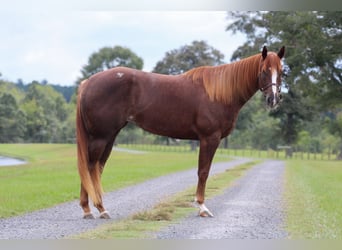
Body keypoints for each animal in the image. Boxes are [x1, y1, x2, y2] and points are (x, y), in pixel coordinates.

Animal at [76, 46, 284, 218]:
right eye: (264, 71)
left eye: (281, 71)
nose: (273, 100)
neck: (219, 93)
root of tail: (88, 83)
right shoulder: (209, 138)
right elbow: (203, 172)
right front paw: (202, 207)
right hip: (101, 137)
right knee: (91, 166)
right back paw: (100, 208)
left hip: (109, 137)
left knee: (96, 167)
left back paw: (89, 209)